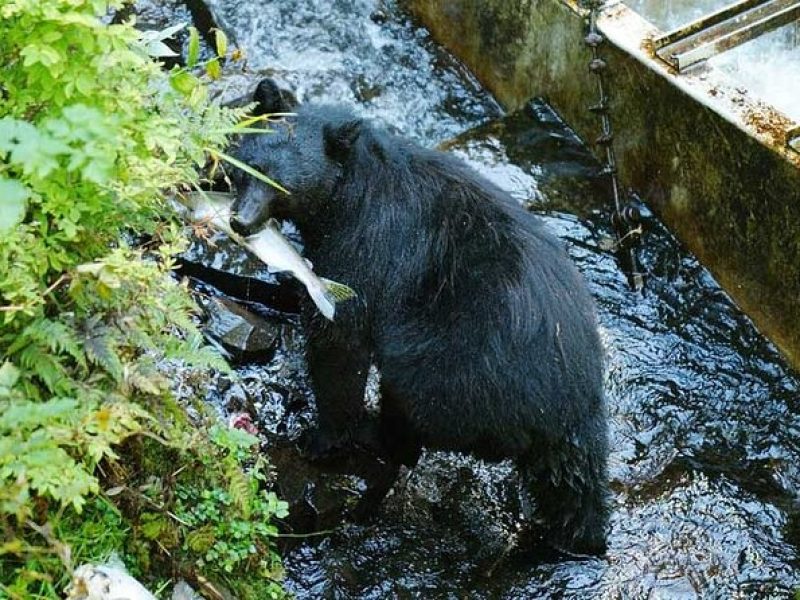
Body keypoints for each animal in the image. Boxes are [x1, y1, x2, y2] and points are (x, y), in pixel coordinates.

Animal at [228, 78, 608, 552]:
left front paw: (319, 437)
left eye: (281, 185)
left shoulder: (367, 245)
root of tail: (573, 410)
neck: (348, 190)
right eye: (248, 167)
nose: (241, 222)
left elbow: (341, 336)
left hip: (453, 368)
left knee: (410, 407)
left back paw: (377, 432)